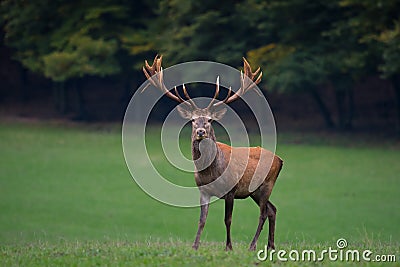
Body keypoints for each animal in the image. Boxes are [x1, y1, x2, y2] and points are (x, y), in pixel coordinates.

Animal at [142, 55, 282, 252]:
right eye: (193, 120)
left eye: (209, 120)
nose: (201, 131)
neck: (210, 171)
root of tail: (280, 160)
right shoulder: (203, 190)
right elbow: (202, 220)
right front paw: (195, 246)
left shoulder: (231, 190)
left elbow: (228, 220)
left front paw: (229, 247)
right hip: (254, 191)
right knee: (272, 209)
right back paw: (270, 246)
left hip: (266, 184)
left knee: (263, 213)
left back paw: (252, 246)